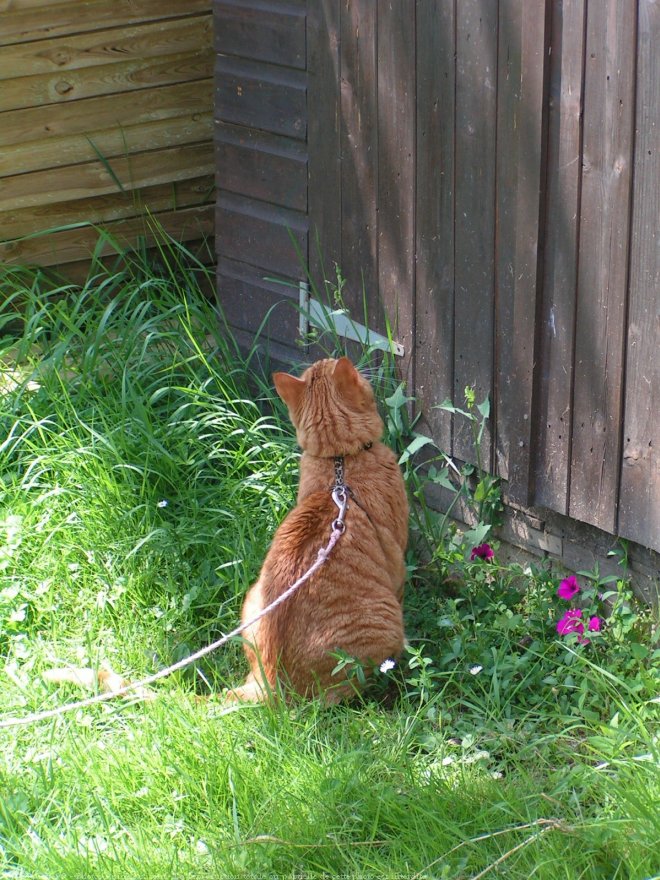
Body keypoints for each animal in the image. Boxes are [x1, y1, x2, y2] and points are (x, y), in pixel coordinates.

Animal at [229, 354, 410, 704]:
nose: (335, 354)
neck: (340, 462)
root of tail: (268, 685)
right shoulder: (397, 564)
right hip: (385, 622)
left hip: (251, 598)